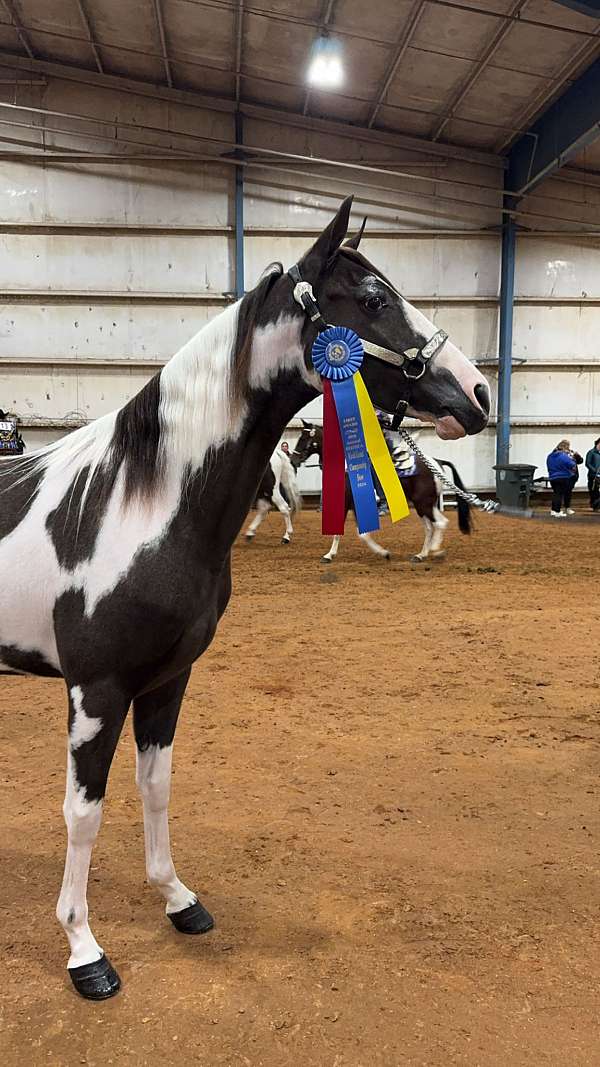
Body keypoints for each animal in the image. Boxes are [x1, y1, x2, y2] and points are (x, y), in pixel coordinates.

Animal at [0, 194, 486, 998]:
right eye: (375, 298)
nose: (477, 393)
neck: (143, 502)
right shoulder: (96, 689)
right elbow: (83, 811)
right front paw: (83, 949)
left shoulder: (166, 680)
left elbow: (156, 787)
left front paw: (176, 899)